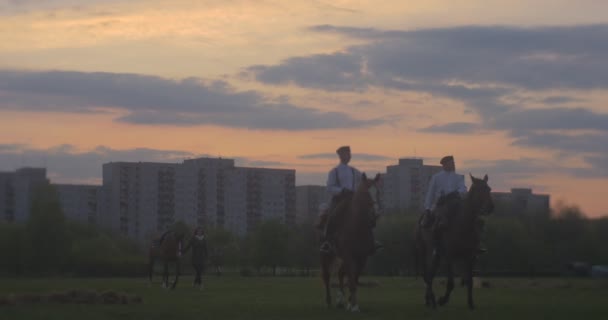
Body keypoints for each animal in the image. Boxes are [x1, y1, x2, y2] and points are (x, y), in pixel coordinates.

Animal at [318, 172, 380, 312]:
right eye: (366, 193)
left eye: (378, 192)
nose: (375, 215)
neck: (357, 227)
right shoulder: (348, 255)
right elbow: (351, 280)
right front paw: (354, 306)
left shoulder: (362, 257)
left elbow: (354, 278)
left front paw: (350, 302)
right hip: (326, 255)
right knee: (327, 276)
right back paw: (329, 301)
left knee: (341, 273)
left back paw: (340, 300)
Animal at [414, 174, 494, 308]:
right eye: (478, 190)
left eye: (488, 189)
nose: (490, 207)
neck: (463, 224)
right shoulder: (449, 256)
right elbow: (451, 282)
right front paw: (442, 300)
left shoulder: (470, 256)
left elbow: (469, 280)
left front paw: (471, 304)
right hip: (424, 250)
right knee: (427, 275)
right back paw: (432, 300)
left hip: (437, 254)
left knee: (431, 274)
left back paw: (430, 300)